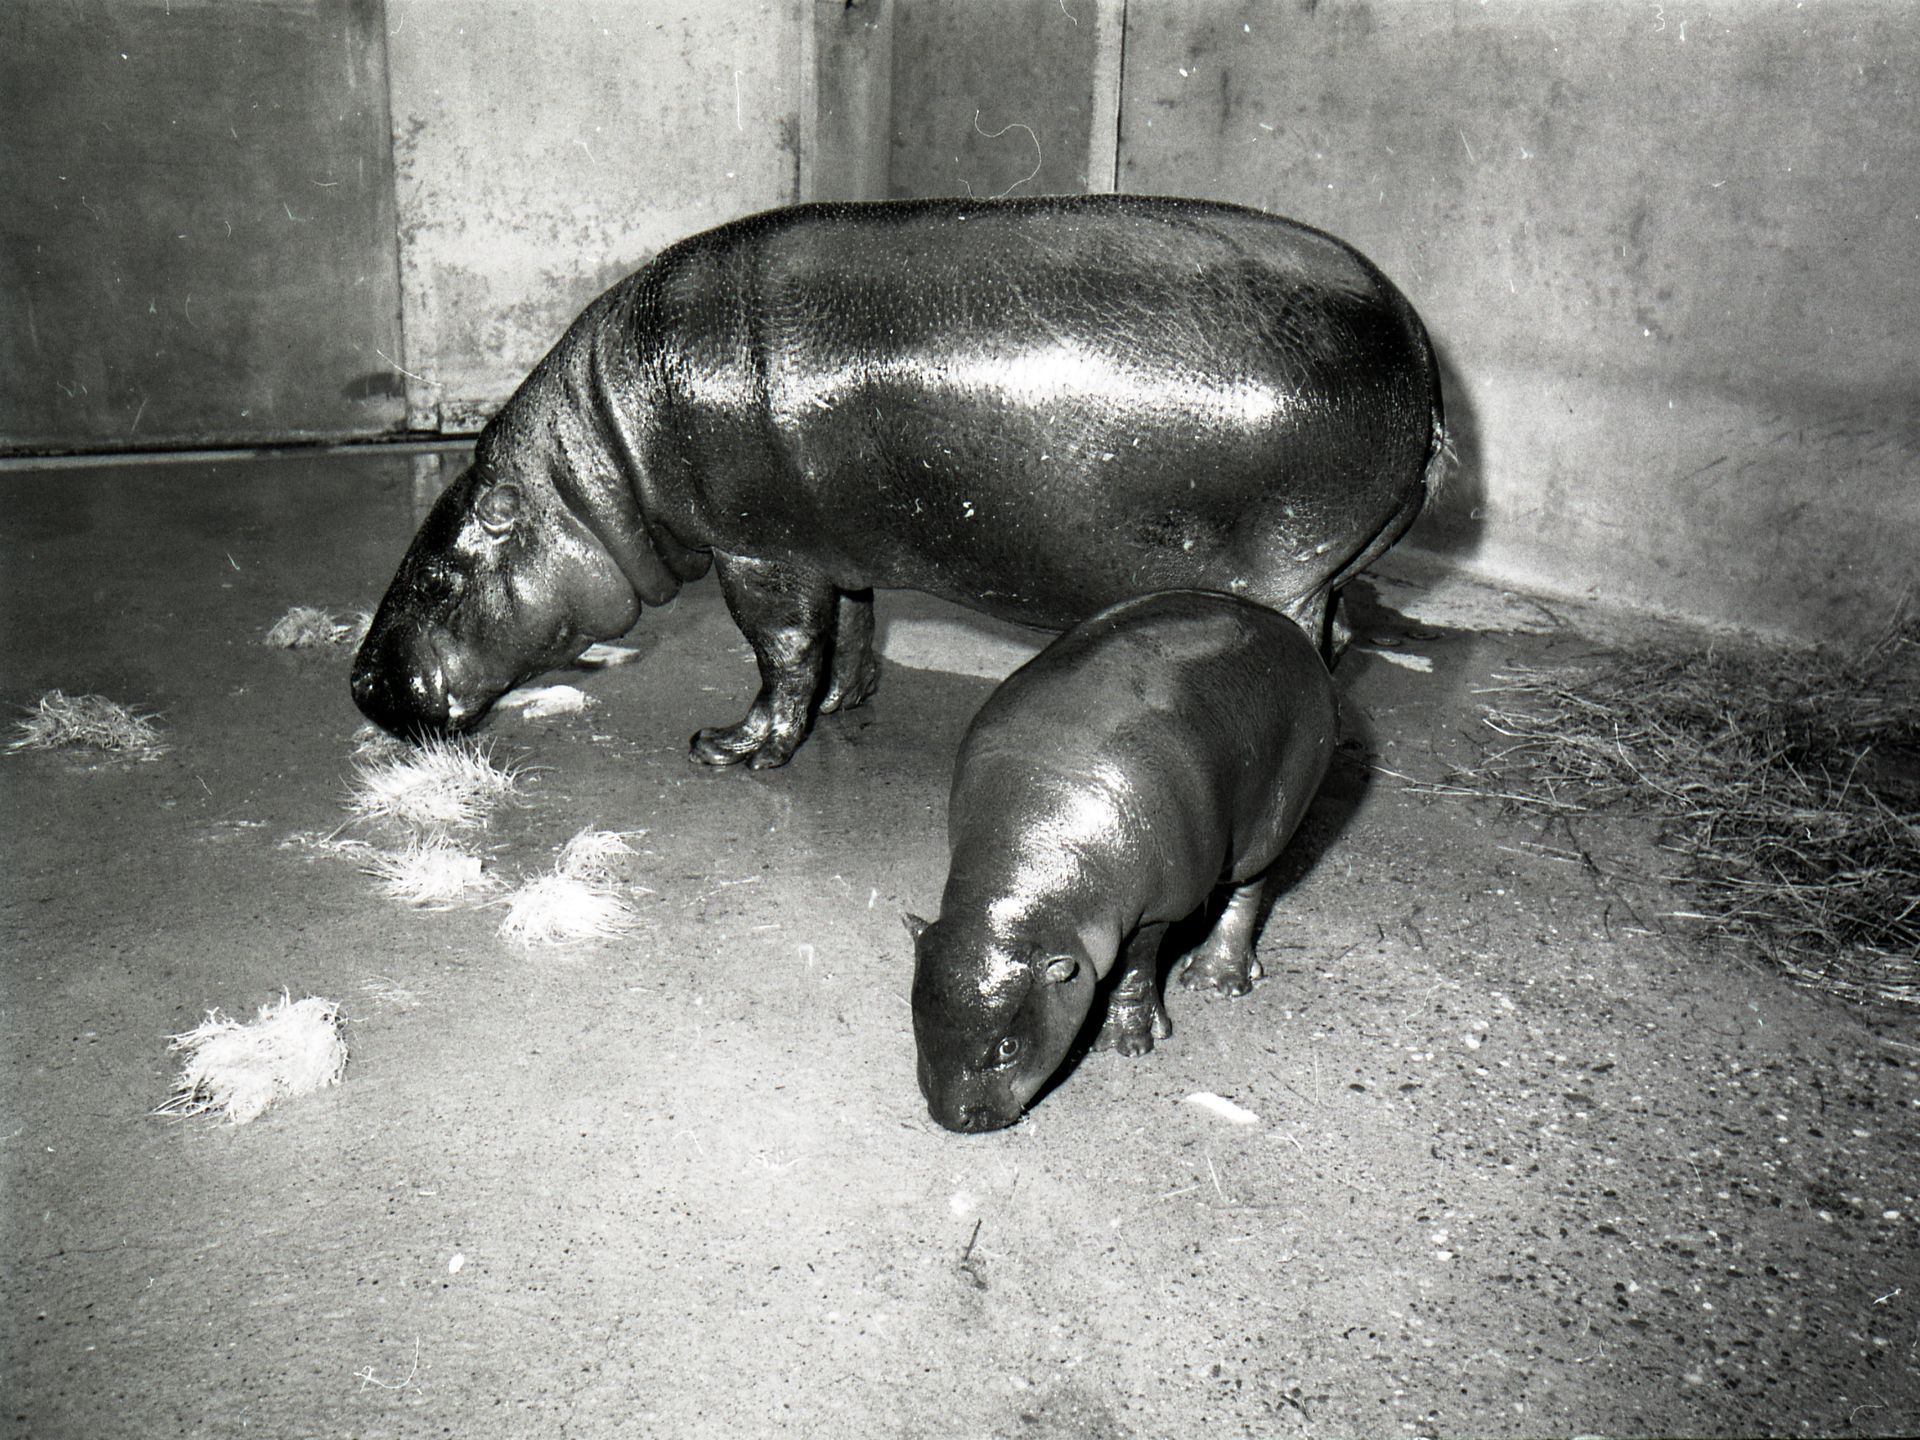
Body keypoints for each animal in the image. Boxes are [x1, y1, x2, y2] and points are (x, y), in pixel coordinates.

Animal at [351, 194, 1443, 767]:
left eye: (439, 578)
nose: (359, 683)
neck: (597, 465)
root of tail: (1424, 359)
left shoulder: (759, 551)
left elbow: (784, 650)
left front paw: (735, 749)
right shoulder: (831, 541)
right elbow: (852, 625)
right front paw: (844, 707)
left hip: (1290, 567)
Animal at [909, 589, 1337, 1133]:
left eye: (1008, 1046)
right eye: (917, 1019)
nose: (952, 1116)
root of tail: (1289, 627)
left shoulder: (1154, 910)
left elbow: (1134, 970)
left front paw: (1126, 1044)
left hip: (1271, 821)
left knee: (1248, 889)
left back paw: (1213, 980)